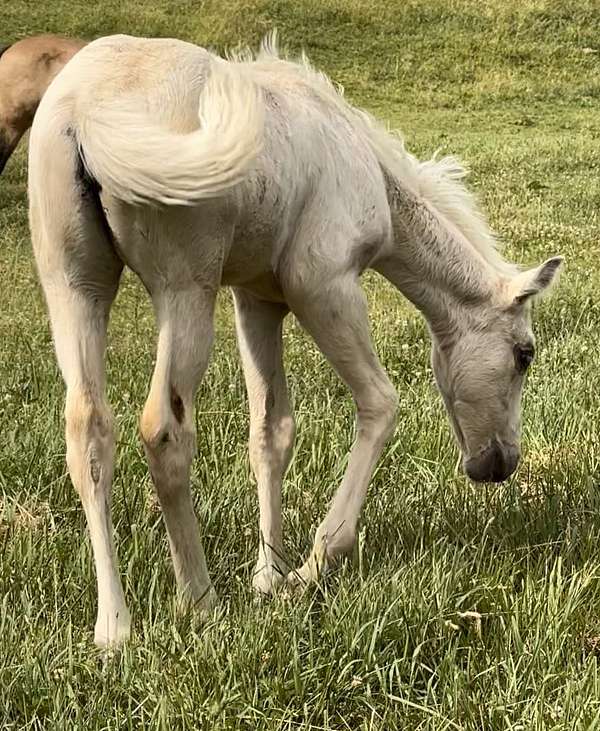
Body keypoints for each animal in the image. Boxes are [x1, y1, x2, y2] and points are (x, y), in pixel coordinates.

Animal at [28, 33, 563, 646]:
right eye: (524, 354)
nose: (499, 463)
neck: (364, 166)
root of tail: (84, 113)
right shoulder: (323, 287)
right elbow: (379, 403)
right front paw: (311, 568)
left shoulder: (258, 301)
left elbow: (271, 431)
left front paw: (269, 574)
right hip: (184, 288)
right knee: (164, 429)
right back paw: (200, 601)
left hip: (75, 288)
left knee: (89, 429)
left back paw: (114, 627)